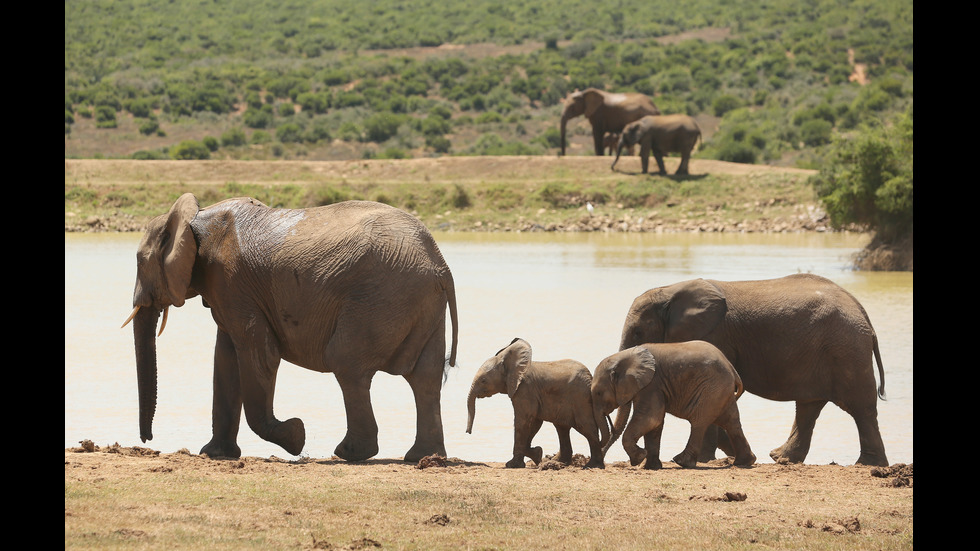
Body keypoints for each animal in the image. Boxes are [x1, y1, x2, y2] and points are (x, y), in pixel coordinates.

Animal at [122, 194, 460, 462]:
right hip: (420, 304)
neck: (196, 217)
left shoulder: (233, 283)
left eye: (139, 262)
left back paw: (349, 453)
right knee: (425, 378)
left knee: (347, 363)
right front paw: (215, 454)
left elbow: (259, 356)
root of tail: (441, 265)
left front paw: (296, 436)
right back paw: (422, 457)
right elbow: (226, 360)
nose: (147, 440)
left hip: (380, 299)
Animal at [466, 338, 604, 468]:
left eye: (483, 380)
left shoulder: (525, 390)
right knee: (562, 428)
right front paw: (537, 454)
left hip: (580, 399)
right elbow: (535, 421)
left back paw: (593, 465)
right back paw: (559, 462)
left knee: (586, 427)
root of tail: (590, 377)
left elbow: (523, 420)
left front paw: (513, 465)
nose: (468, 432)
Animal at [588, 340, 756, 470]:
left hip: (711, 390)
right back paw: (744, 462)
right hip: (721, 392)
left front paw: (639, 458)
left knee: (699, 423)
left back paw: (682, 462)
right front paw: (652, 467)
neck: (625, 357)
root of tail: (733, 370)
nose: (601, 460)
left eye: (598, 393)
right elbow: (655, 423)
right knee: (731, 422)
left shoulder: (652, 385)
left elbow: (651, 417)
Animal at [624, 274, 892, 466]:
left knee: (860, 408)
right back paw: (781, 459)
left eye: (638, 332)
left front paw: (706, 459)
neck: (670, 290)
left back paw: (868, 464)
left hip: (847, 351)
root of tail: (863, 314)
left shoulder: (714, 335)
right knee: (809, 407)